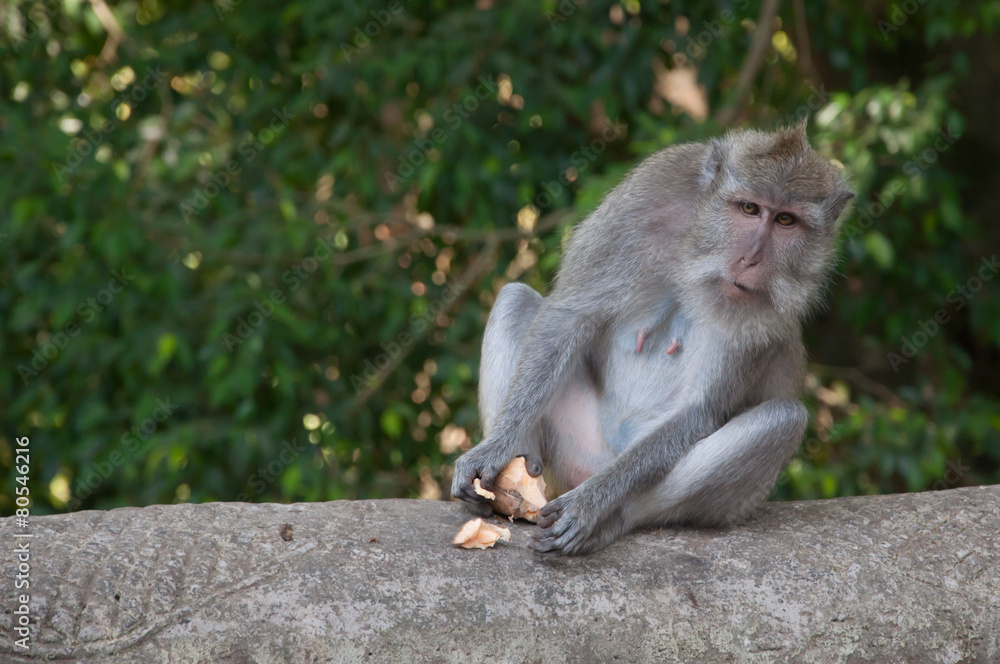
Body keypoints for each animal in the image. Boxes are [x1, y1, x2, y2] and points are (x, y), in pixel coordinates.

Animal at [452, 121, 855, 556]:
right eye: (749, 208)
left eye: (785, 220)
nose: (751, 259)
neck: (699, 246)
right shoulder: (651, 192)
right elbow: (568, 317)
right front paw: (495, 448)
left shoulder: (763, 312)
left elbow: (699, 410)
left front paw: (591, 505)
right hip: (572, 454)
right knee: (515, 298)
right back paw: (513, 482)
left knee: (782, 418)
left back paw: (608, 520)